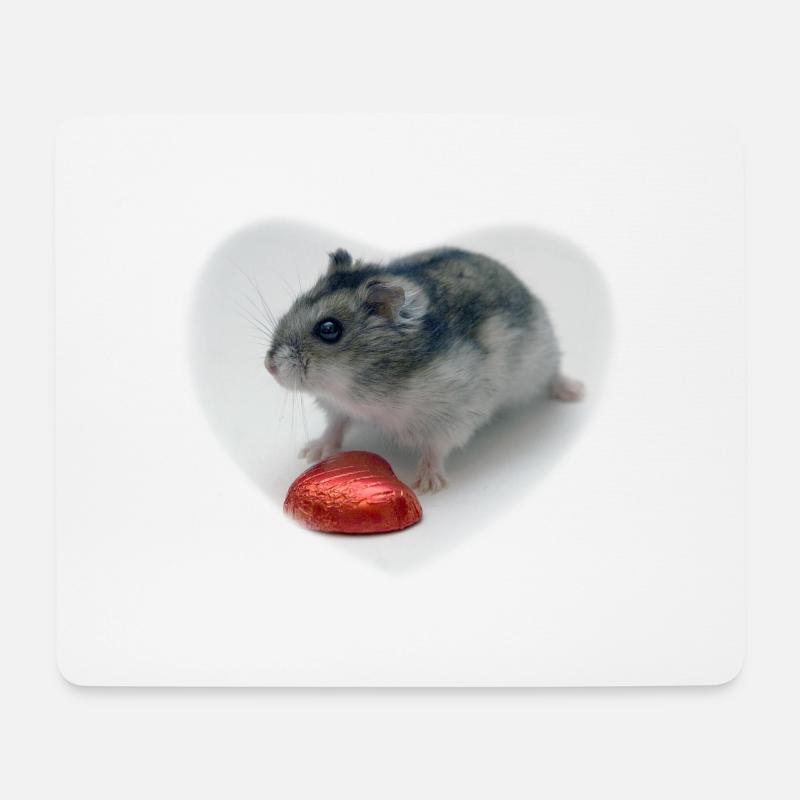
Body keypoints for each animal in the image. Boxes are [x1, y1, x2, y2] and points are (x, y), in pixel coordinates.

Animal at [265, 247, 583, 492]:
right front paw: (311, 453)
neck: (355, 385)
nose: (269, 367)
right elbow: (335, 426)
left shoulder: (451, 418)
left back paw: (574, 392)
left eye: (329, 329)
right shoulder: (337, 407)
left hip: (541, 356)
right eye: (295, 304)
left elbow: (435, 449)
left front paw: (427, 485)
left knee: (554, 373)